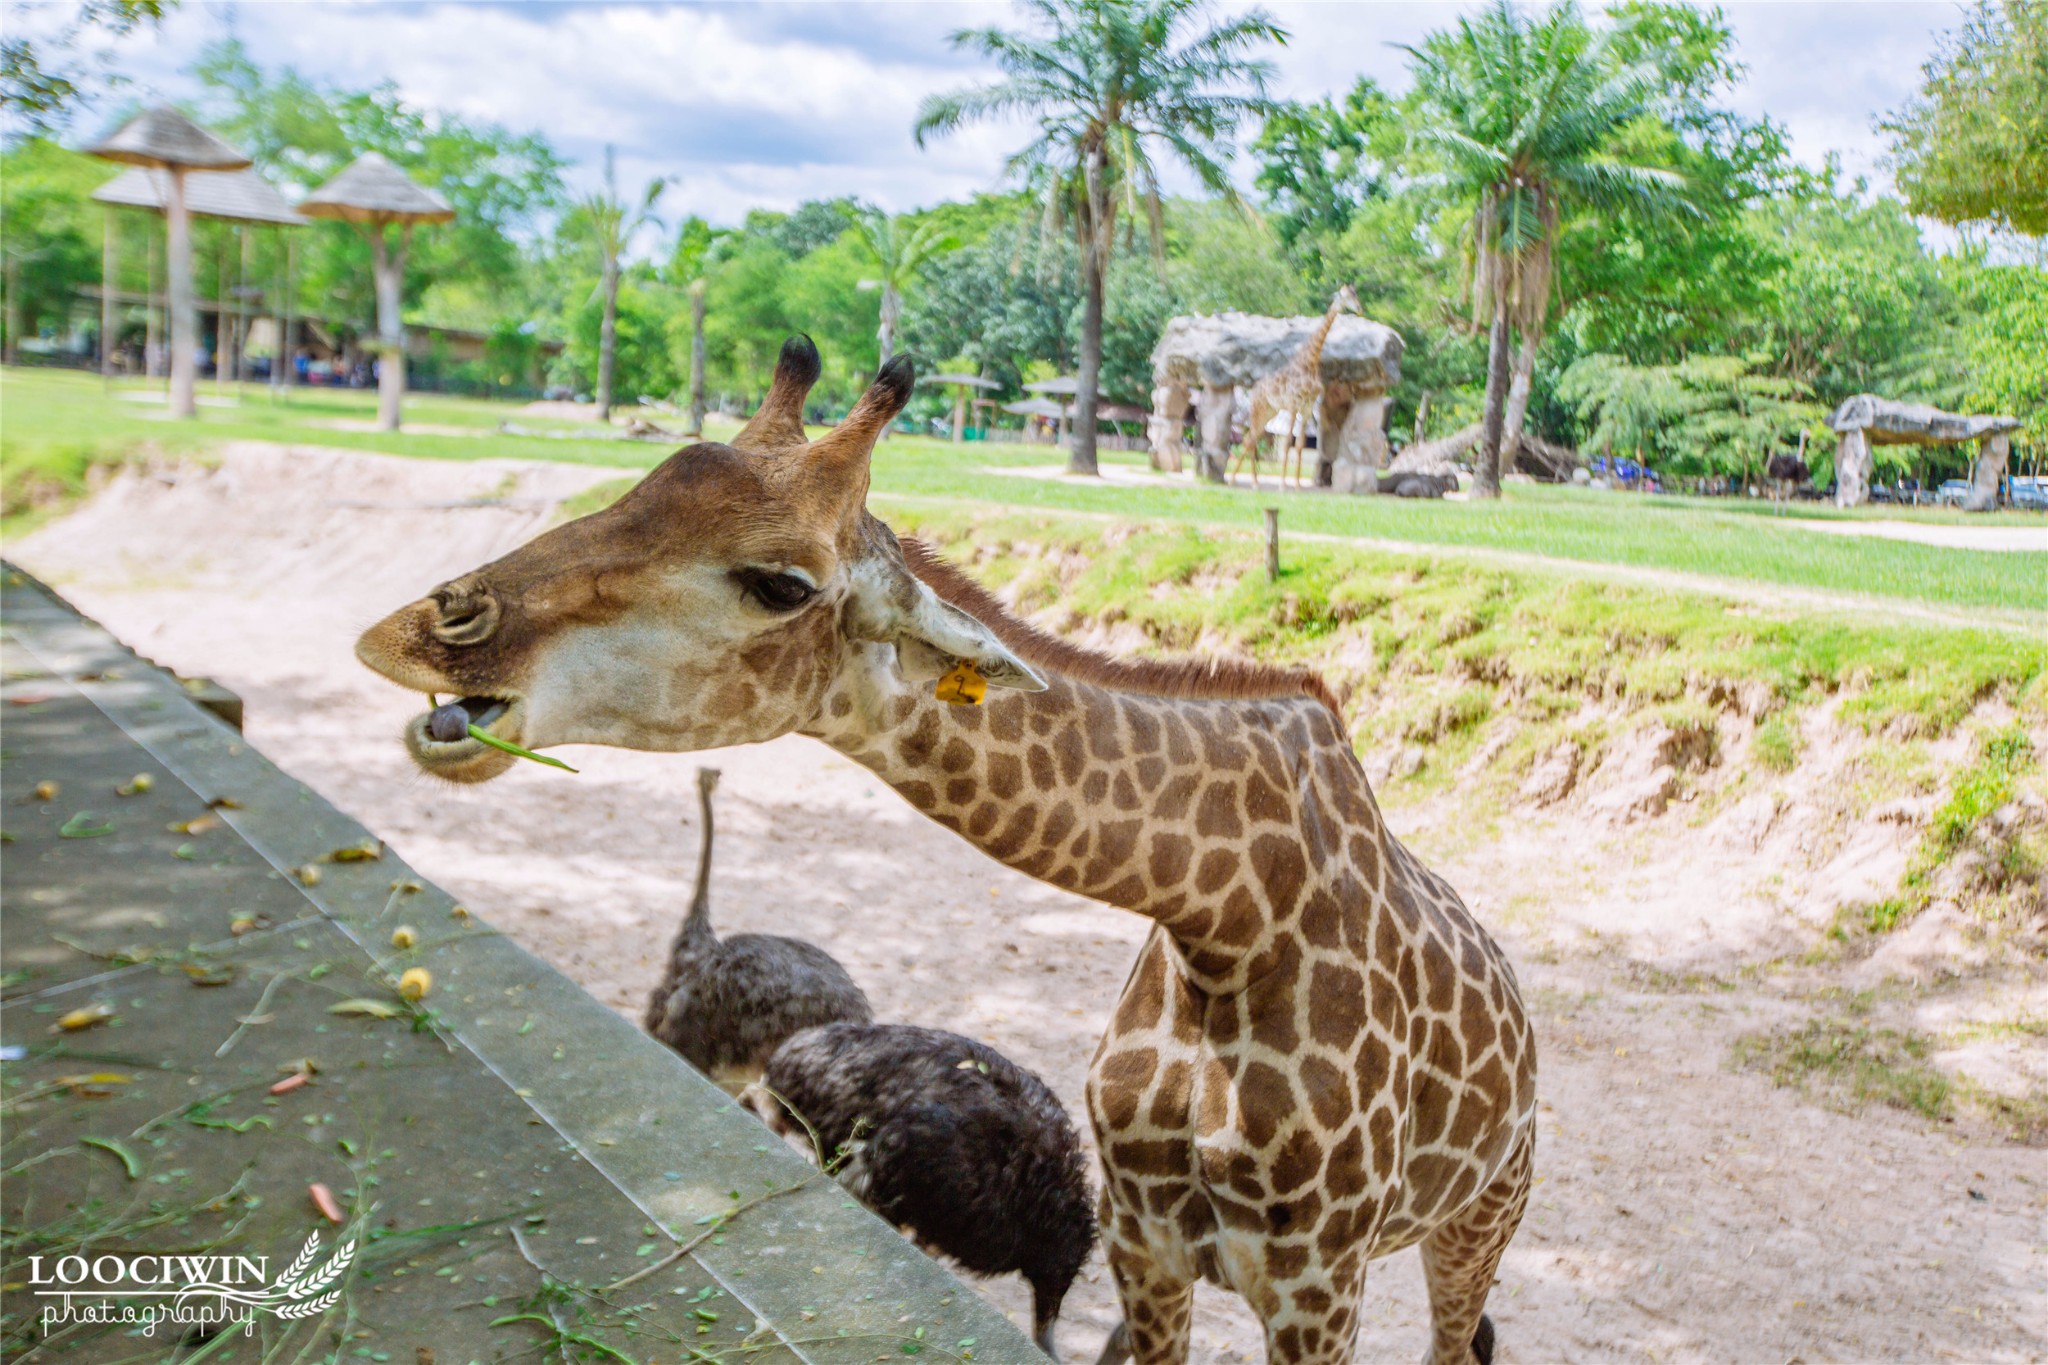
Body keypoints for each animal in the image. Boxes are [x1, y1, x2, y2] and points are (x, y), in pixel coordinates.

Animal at [356, 333, 1540, 1365]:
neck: (1227, 917)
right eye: (635, 487)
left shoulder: (1315, 1277)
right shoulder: (1146, 1241)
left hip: (1478, 1219)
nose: (415, 633)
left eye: (781, 582)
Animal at [1228, 286, 1359, 493]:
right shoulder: (1292, 406)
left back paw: (1254, 482)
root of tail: (1253, 390)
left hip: (1270, 411)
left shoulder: (1306, 409)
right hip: (1258, 408)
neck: (1310, 363)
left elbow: (1299, 446)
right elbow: (1286, 444)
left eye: (1356, 295)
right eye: (1345, 297)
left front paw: (1296, 485)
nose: (1359, 308)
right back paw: (1238, 481)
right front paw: (1282, 485)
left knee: (1252, 439)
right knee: (1249, 440)